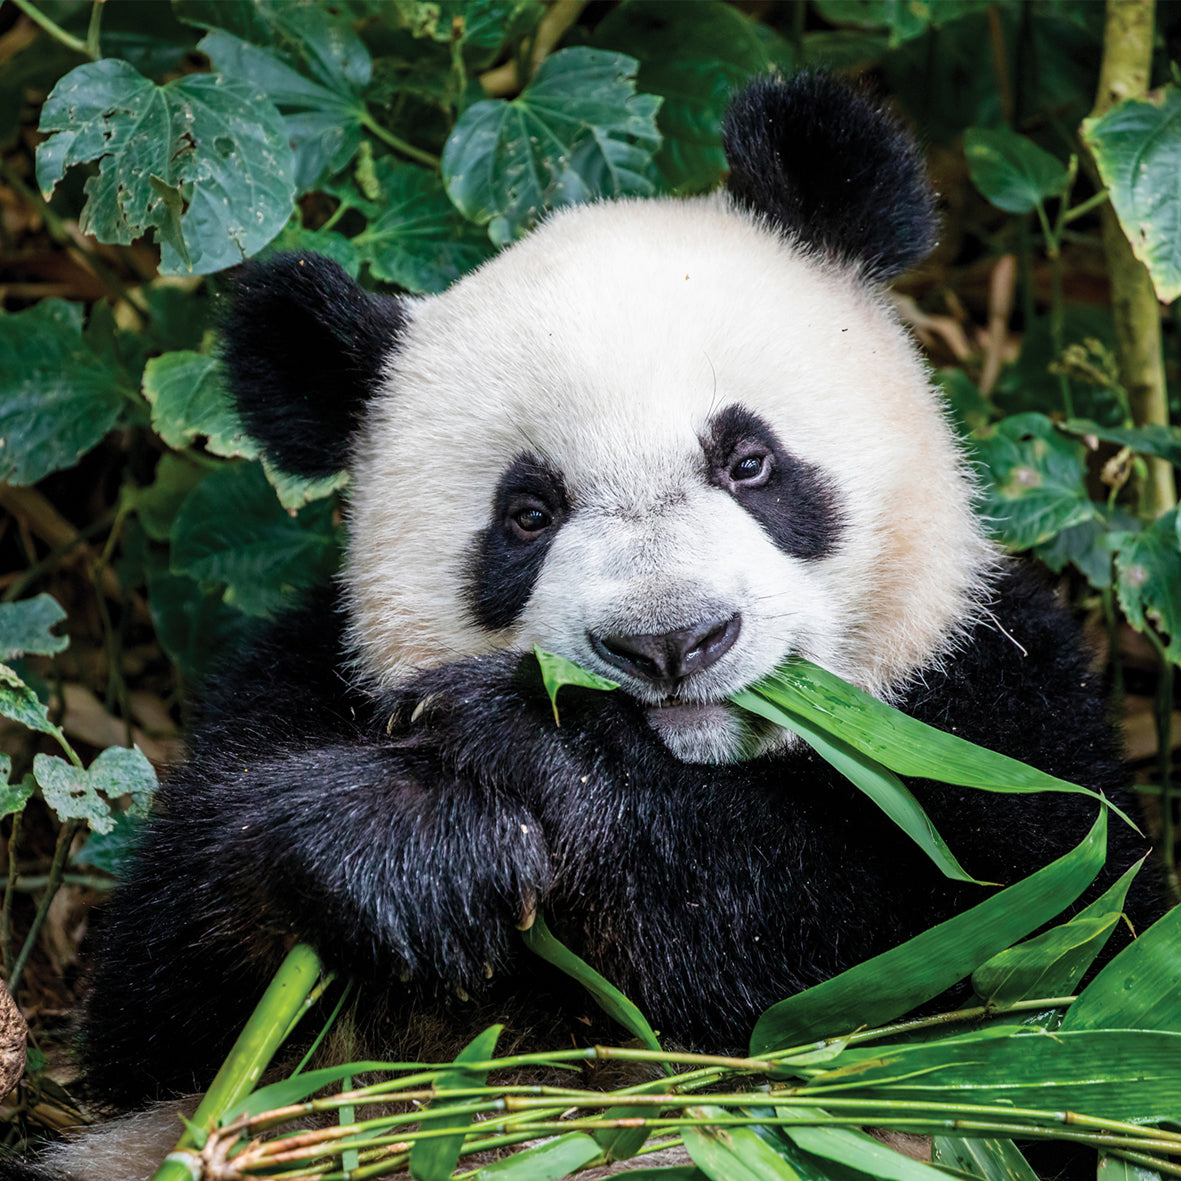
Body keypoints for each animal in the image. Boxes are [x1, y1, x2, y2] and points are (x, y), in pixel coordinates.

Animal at [16, 72, 1155, 1181]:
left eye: (747, 460)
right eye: (527, 514)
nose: (669, 641)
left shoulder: (987, 692)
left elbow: (982, 953)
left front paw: (542, 756)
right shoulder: (300, 678)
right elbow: (152, 1002)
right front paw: (399, 841)